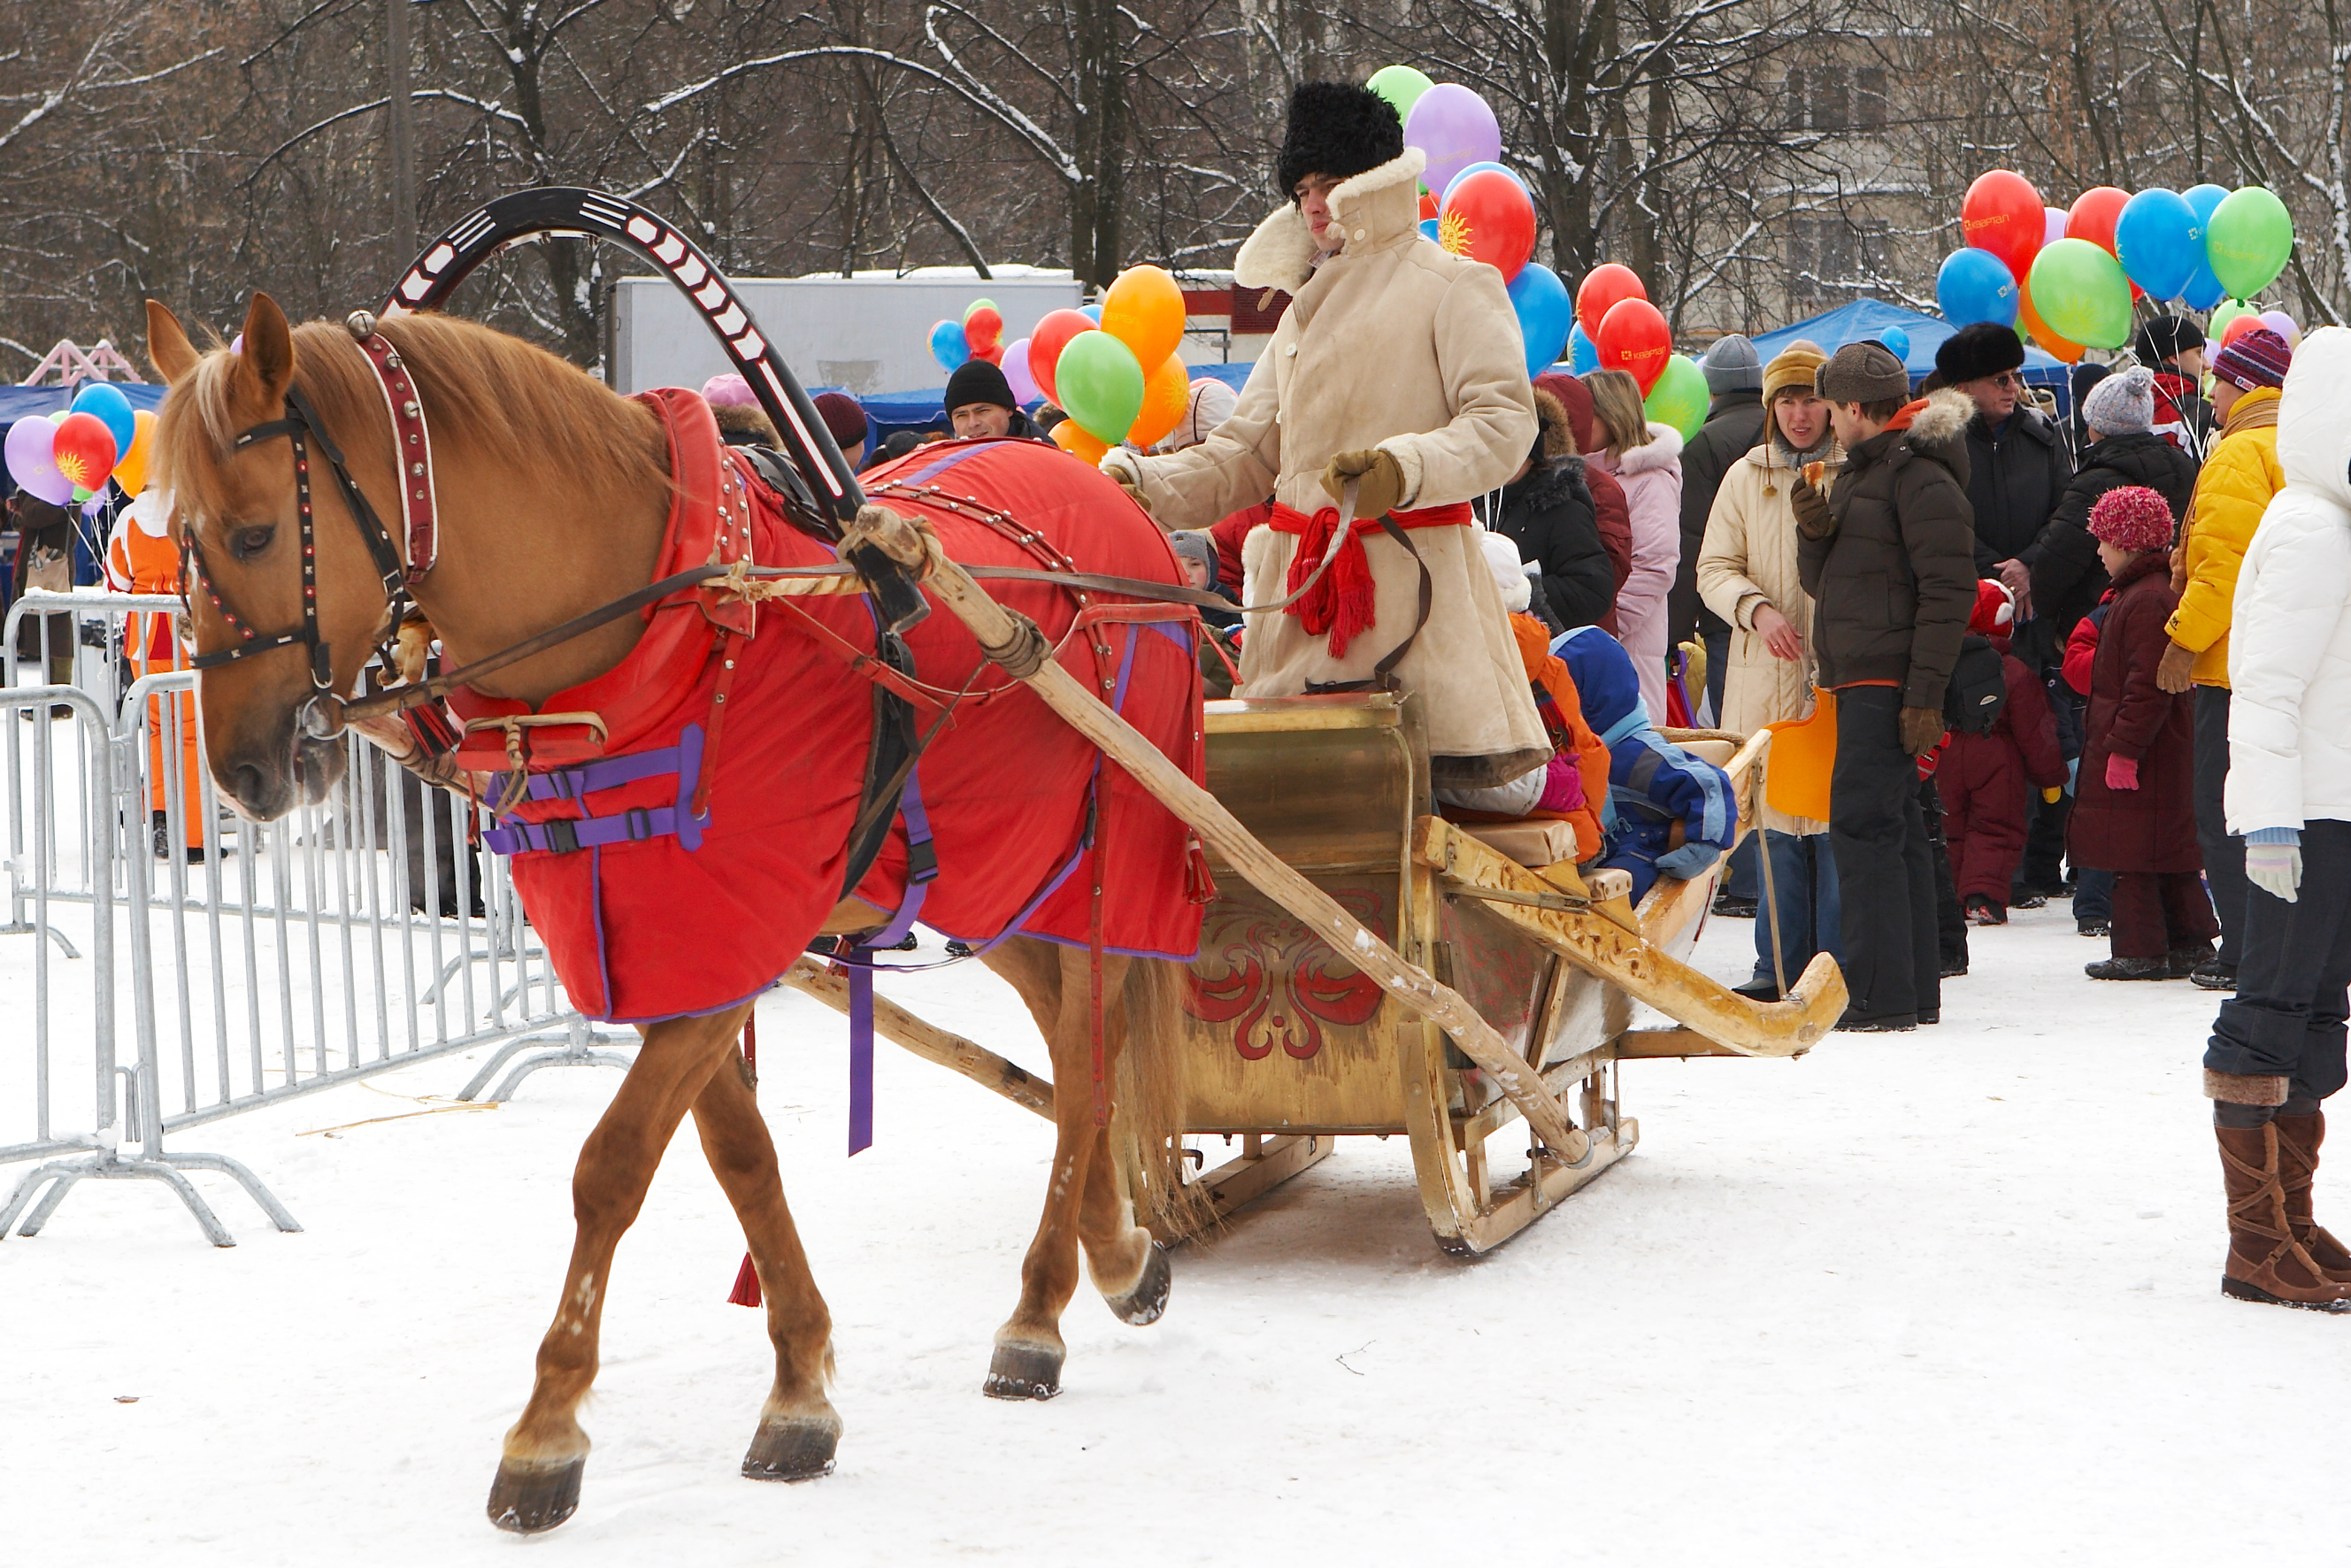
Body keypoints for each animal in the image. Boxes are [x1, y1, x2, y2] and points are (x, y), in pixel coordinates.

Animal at [151, 294, 1194, 1533]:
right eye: (178, 539)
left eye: (258, 532)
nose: (243, 773)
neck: (670, 631)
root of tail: (1118, 505)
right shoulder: (681, 950)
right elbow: (740, 1158)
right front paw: (798, 1382)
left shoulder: (733, 936)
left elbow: (611, 1167)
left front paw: (546, 1428)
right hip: (995, 883)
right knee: (1077, 1048)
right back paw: (1111, 1250)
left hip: (1101, 855)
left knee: (1087, 1057)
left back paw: (1041, 1306)